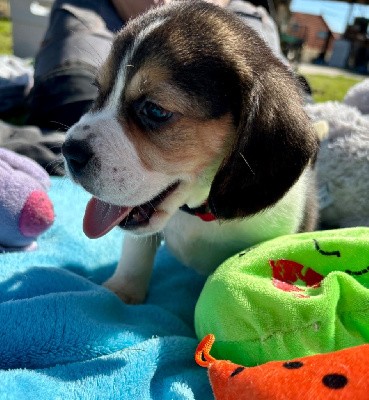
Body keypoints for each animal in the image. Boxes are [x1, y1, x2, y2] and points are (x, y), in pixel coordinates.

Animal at [61, 0, 318, 304]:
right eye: (98, 90)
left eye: (156, 110)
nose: (68, 152)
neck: (198, 211)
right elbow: (136, 253)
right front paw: (122, 292)